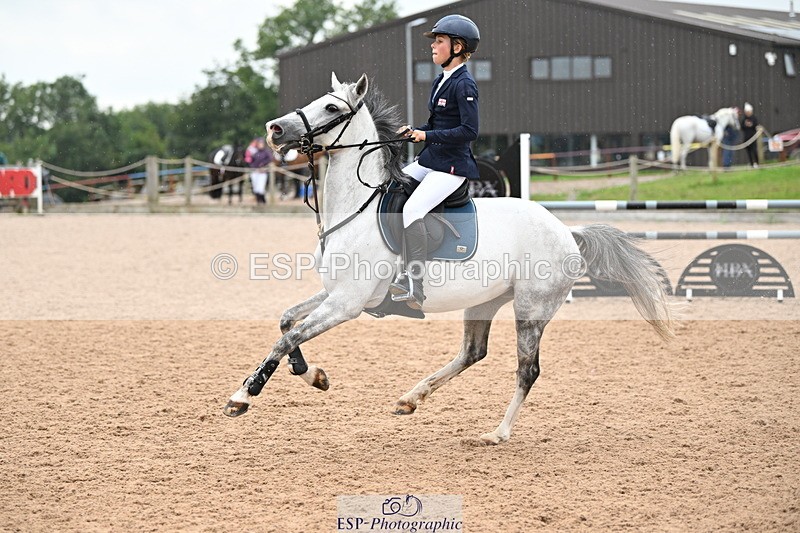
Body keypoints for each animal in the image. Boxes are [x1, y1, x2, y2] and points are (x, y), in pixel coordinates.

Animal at [223, 73, 674, 445]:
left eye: (332, 108)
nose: (275, 129)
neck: (355, 211)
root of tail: (566, 230)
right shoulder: (336, 294)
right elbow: (287, 321)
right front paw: (313, 375)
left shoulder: (347, 303)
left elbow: (288, 337)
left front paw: (243, 395)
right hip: (484, 301)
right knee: (473, 352)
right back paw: (410, 398)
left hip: (532, 309)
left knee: (526, 370)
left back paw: (497, 433)